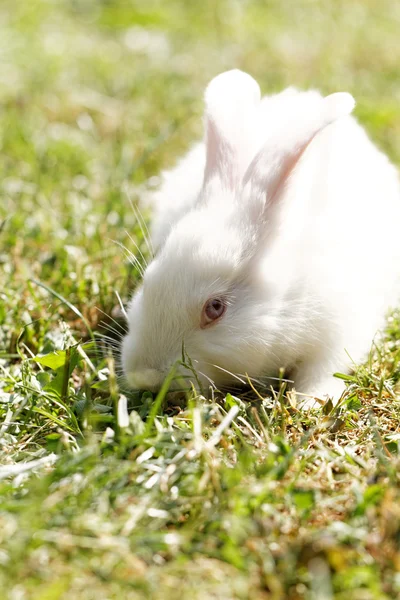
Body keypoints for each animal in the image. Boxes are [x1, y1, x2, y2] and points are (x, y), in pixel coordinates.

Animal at [121, 70, 400, 408]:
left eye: (215, 308)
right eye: (147, 281)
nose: (145, 375)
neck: (288, 298)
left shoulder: (340, 329)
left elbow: (326, 369)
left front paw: (309, 400)